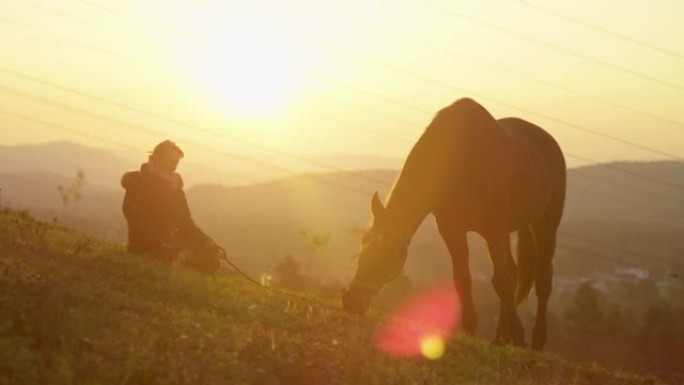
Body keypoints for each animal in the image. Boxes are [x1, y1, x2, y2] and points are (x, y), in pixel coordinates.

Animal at [342, 97, 568, 350]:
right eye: (363, 246)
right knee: (514, 271)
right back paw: (500, 336)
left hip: (544, 224)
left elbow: (502, 281)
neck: (460, 160)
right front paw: (470, 327)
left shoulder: (495, 230)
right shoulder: (452, 230)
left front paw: (519, 336)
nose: (351, 300)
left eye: (388, 254)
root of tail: (549, 143)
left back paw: (537, 340)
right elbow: (463, 278)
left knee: (542, 278)